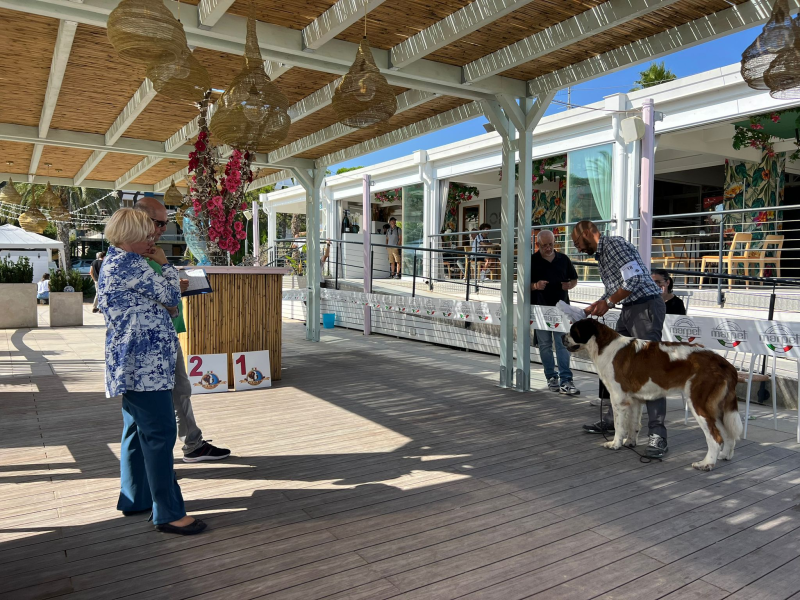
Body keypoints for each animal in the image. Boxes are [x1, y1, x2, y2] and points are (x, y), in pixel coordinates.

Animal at [564, 322, 744, 472]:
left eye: (573, 331)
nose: (562, 337)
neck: (604, 345)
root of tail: (724, 362)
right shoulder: (634, 399)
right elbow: (633, 424)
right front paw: (630, 442)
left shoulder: (618, 398)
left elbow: (619, 425)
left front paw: (615, 444)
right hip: (717, 409)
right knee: (728, 435)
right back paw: (725, 455)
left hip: (699, 405)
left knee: (715, 438)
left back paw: (706, 463)